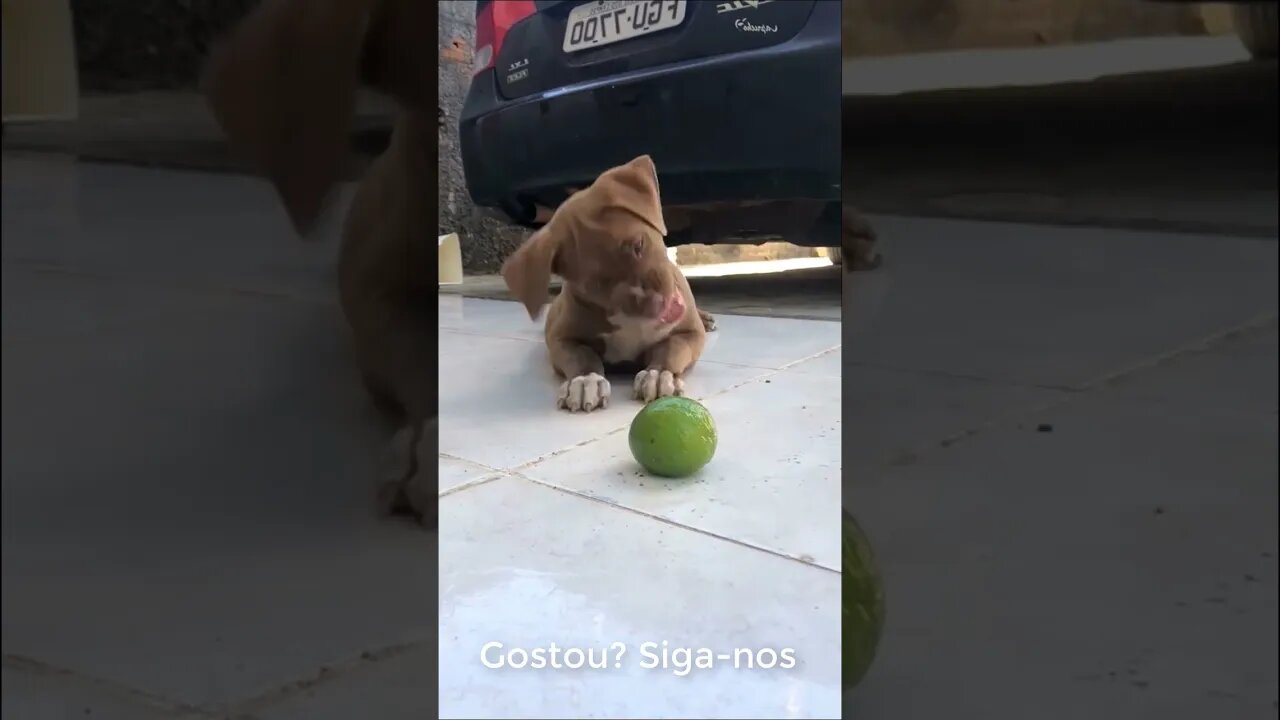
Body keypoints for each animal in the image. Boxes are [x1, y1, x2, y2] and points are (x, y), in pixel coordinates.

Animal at [501, 156, 711, 412]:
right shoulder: (561, 339)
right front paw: (584, 381)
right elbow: (581, 355)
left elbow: (672, 348)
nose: (656, 305)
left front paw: (658, 374)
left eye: (638, 245)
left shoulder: (689, 333)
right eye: (596, 284)